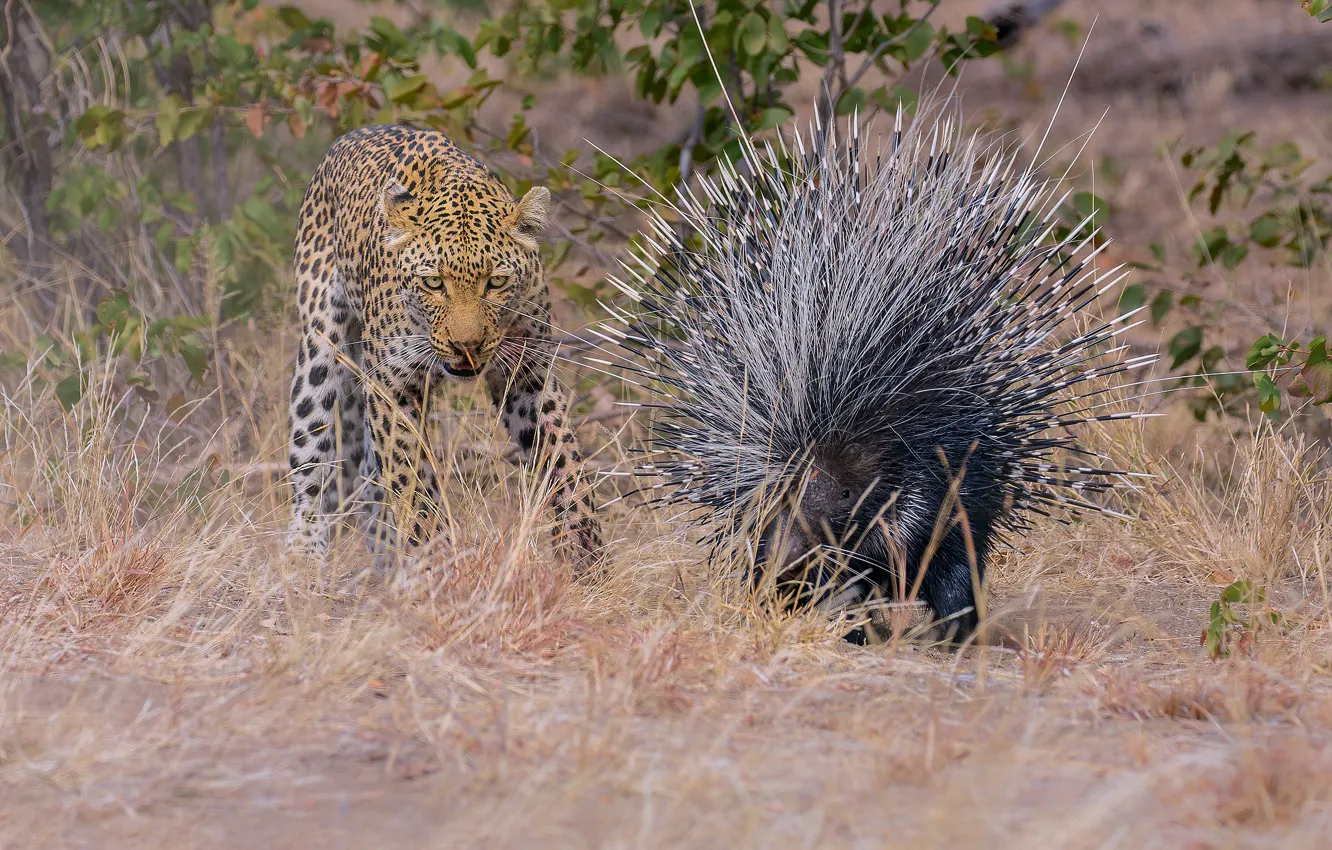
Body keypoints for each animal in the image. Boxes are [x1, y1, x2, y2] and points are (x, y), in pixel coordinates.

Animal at [289, 123, 607, 575]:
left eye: (496, 282)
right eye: (434, 283)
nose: (466, 346)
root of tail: (354, 134)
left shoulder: (529, 372)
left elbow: (564, 461)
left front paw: (587, 559)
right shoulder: (394, 388)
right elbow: (412, 484)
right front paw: (432, 565)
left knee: (369, 479)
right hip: (320, 348)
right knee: (313, 458)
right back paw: (303, 560)